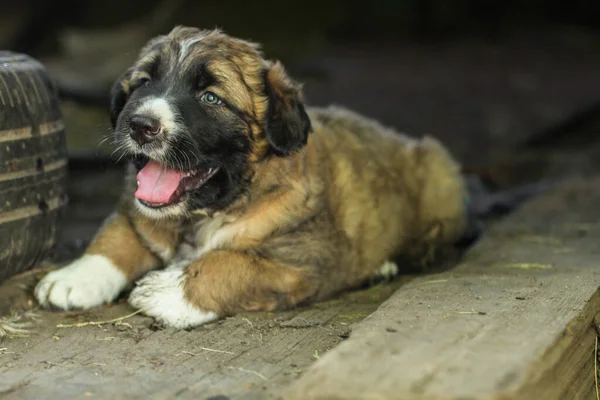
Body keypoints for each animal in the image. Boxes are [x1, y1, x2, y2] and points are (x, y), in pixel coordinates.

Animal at [34, 25, 468, 328]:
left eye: (211, 98)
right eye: (143, 83)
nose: (141, 126)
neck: (206, 212)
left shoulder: (299, 259)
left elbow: (234, 264)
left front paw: (169, 291)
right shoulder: (136, 210)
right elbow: (115, 236)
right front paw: (74, 277)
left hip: (440, 177)